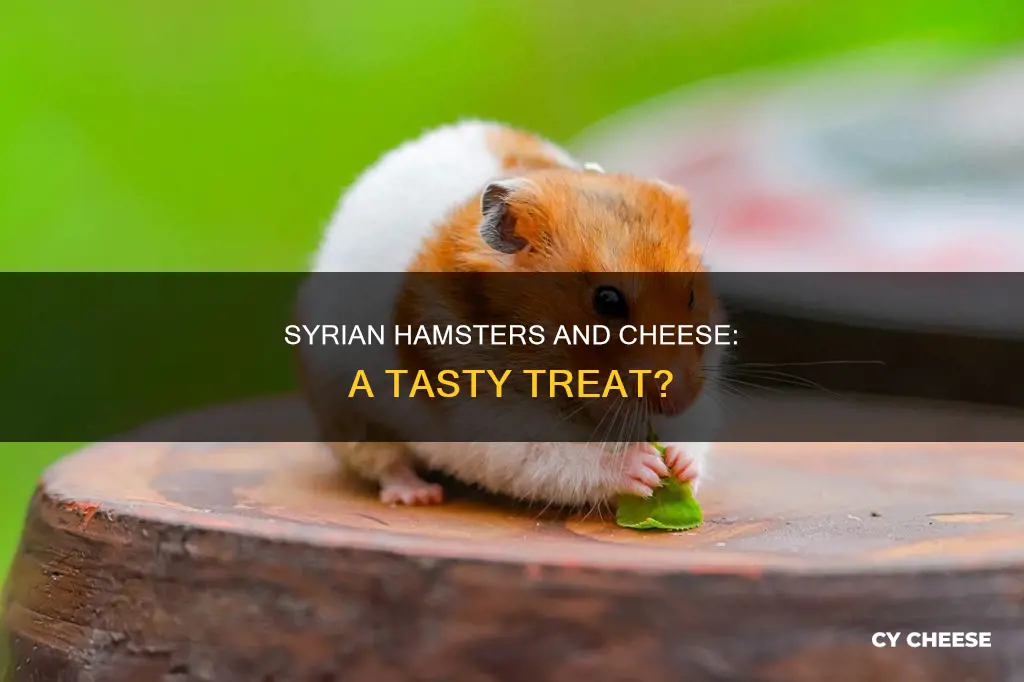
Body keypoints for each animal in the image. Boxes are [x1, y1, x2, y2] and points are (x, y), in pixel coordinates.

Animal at [301, 120, 725, 509]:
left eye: (691, 295)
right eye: (607, 301)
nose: (681, 400)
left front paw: (680, 466)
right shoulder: (483, 415)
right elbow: (555, 457)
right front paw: (644, 467)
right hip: (348, 411)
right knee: (384, 464)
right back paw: (418, 495)